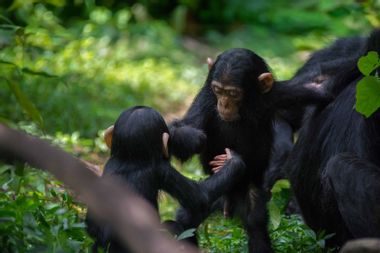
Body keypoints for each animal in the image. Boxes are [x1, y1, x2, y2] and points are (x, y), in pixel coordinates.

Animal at [168, 48, 332, 253]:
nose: (223, 104)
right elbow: (187, 127)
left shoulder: (277, 94)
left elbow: (319, 90)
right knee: (187, 219)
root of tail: (228, 202)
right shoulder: (205, 101)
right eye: (218, 90)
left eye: (233, 93)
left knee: (255, 222)